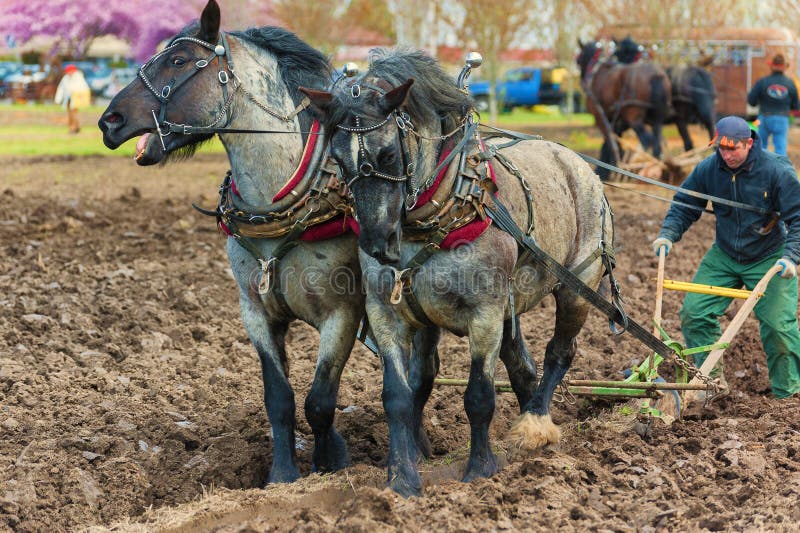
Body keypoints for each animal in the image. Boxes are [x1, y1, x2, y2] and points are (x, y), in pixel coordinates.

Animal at [98, 0, 444, 482]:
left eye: (179, 60)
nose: (108, 120)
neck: (279, 198)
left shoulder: (342, 313)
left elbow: (320, 401)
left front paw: (331, 461)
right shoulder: (255, 312)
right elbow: (279, 400)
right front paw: (282, 474)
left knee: (421, 372)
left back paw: (419, 445)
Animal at [304, 47, 616, 496]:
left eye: (387, 154)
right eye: (339, 160)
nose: (378, 243)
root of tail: (576, 162)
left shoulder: (484, 313)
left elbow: (479, 396)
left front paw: (480, 470)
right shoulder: (386, 311)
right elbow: (398, 396)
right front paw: (402, 478)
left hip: (578, 286)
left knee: (560, 352)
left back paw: (535, 425)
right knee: (524, 369)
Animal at [580, 39, 672, 180]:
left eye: (579, 58)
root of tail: (656, 75)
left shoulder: (601, 118)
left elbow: (610, 143)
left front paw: (609, 170)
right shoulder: (617, 122)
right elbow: (611, 144)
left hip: (633, 117)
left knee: (647, 140)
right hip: (657, 120)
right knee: (657, 144)